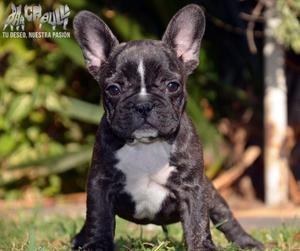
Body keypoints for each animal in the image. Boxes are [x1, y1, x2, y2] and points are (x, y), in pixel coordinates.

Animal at [72, 3, 262, 251]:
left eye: (173, 86)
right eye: (113, 89)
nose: (143, 104)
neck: (146, 145)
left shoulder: (193, 188)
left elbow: (197, 223)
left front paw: (202, 246)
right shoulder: (100, 184)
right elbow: (99, 218)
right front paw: (95, 244)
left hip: (212, 193)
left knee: (226, 217)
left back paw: (247, 242)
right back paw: (80, 238)